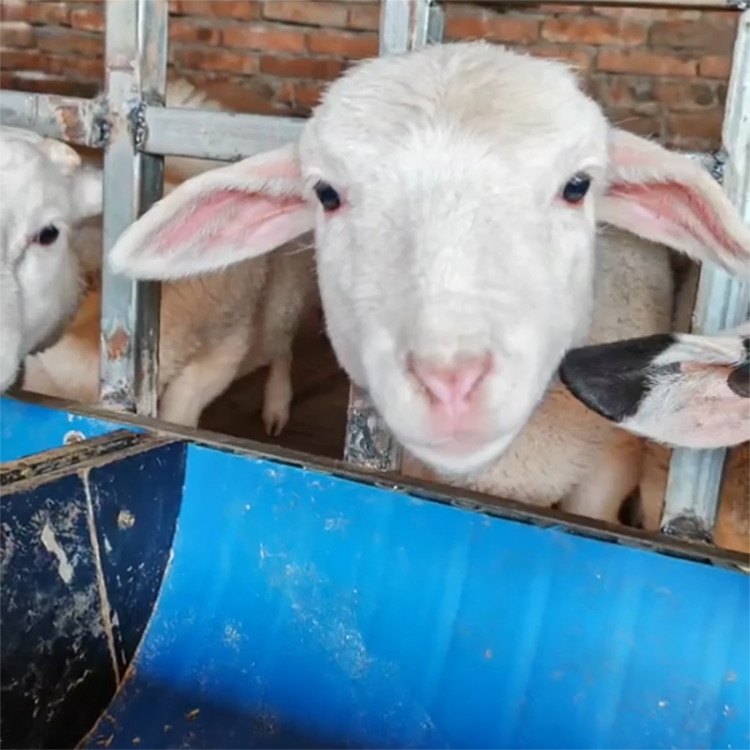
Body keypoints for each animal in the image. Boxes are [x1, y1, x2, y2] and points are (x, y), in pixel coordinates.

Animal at [21, 77, 320, 433]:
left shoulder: (221, 353)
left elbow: (177, 418)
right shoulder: (42, 371)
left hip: (285, 295)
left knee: (281, 345)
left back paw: (276, 413)